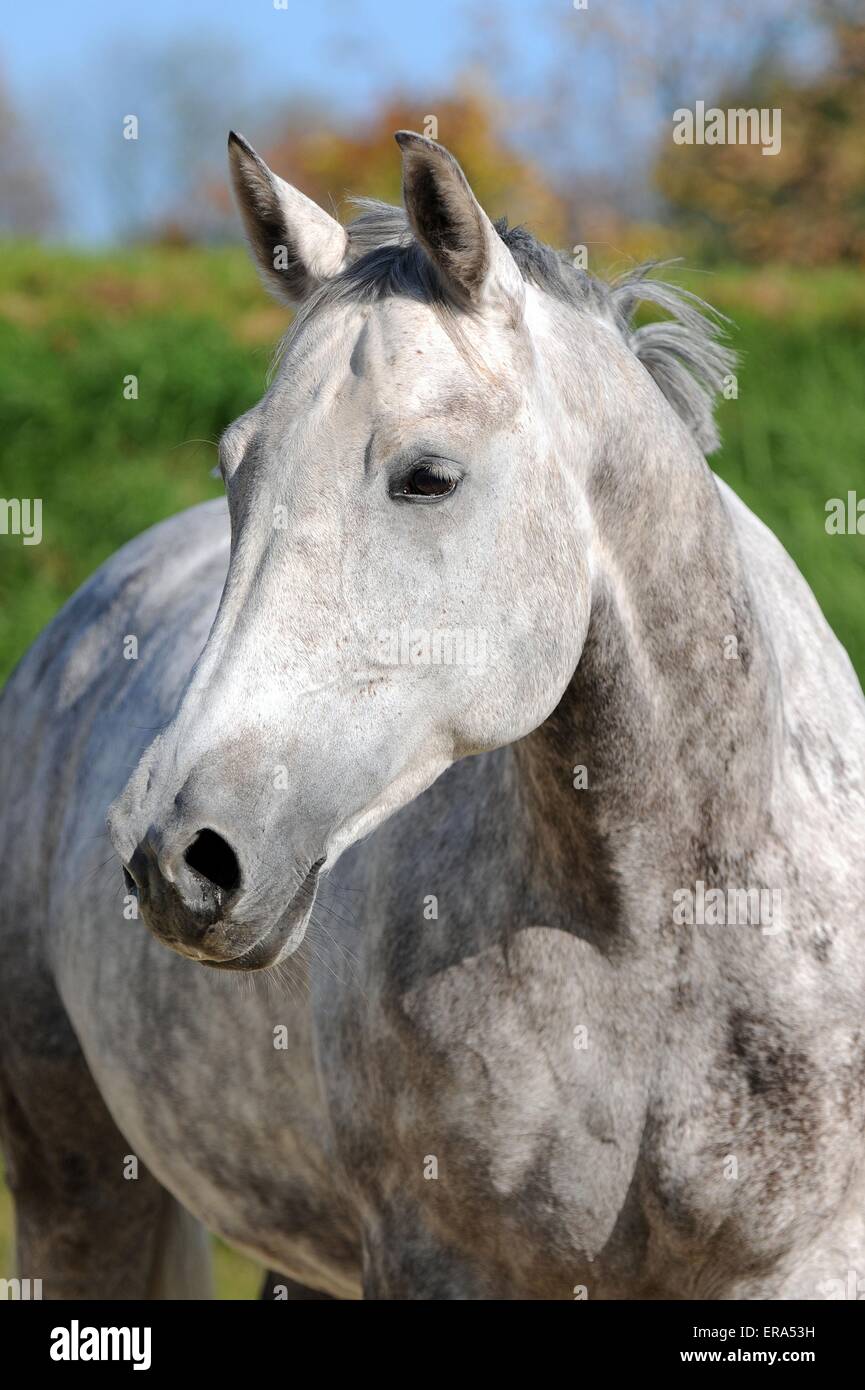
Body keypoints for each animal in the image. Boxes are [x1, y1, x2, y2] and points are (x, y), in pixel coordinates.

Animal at [1, 132, 865, 1301]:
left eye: (427, 477)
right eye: (235, 466)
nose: (176, 856)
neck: (664, 925)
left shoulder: (807, 1261)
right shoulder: (435, 1259)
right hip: (78, 1192)